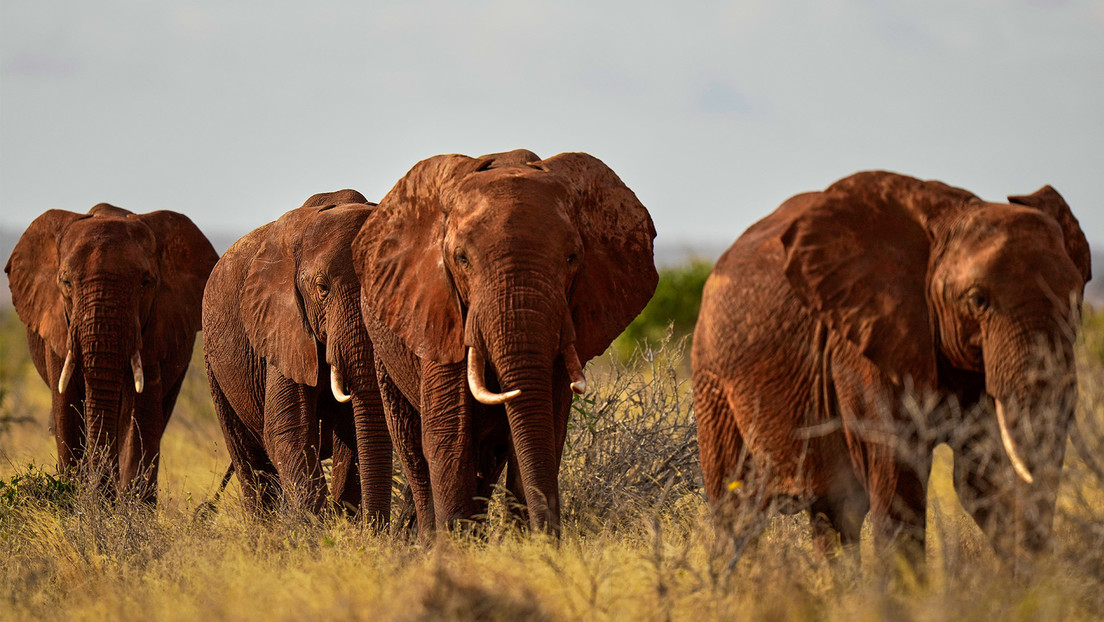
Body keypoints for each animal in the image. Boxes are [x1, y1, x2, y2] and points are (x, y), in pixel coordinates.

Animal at [202, 190, 391, 523]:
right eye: (322, 289)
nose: (377, 529)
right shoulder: (281, 322)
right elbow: (288, 430)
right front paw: (317, 526)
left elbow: (353, 433)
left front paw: (341, 522)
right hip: (214, 365)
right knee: (246, 455)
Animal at [352, 149, 657, 537]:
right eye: (462, 259)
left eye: (572, 258)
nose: (548, 536)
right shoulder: (437, 311)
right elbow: (449, 433)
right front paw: (458, 544)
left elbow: (545, 428)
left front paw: (524, 543)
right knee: (413, 447)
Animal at [692, 171, 1091, 566]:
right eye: (978, 300)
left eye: (1076, 300)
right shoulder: (864, 340)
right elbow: (899, 475)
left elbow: (982, 476)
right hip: (712, 378)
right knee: (738, 511)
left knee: (832, 513)